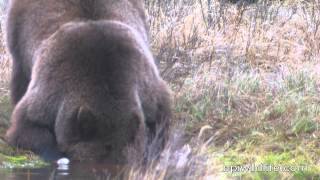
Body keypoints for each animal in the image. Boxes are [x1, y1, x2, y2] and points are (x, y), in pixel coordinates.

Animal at [4, 0, 172, 163]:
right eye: (103, 152)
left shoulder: (144, 82)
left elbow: (159, 119)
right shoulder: (52, 87)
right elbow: (28, 124)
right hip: (20, 35)